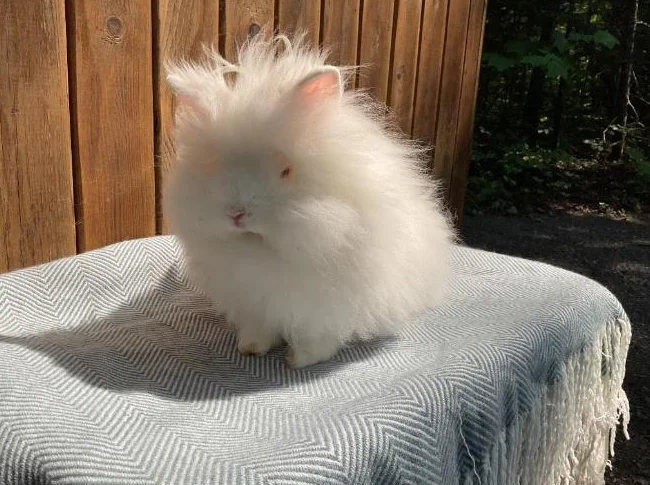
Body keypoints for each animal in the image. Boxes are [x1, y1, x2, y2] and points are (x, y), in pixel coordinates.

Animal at [163, 33, 455, 369]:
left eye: (286, 171)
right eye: (213, 166)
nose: (236, 213)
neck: (260, 252)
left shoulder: (327, 307)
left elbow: (318, 337)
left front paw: (298, 360)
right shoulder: (254, 302)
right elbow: (259, 328)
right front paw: (250, 348)